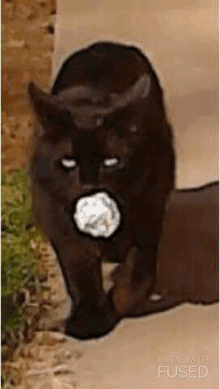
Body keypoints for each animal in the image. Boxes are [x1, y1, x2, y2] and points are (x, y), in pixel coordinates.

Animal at [27, 41, 175, 336]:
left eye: (111, 161)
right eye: (68, 161)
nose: (89, 185)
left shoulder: (149, 207)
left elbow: (140, 269)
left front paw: (118, 301)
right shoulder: (57, 214)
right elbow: (79, 268)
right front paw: (89, 321)